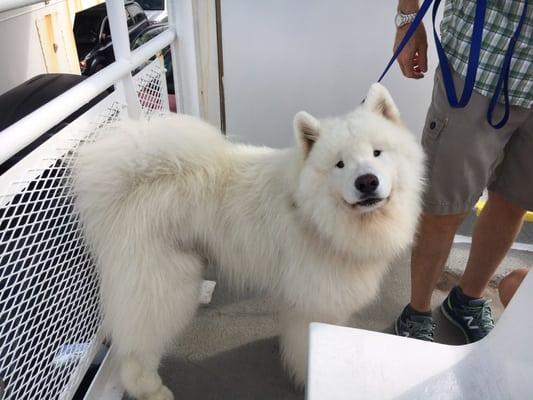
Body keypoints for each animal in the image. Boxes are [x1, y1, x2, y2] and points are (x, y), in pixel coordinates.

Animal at [74, 83, 424, 398]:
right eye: (339, 164)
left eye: (377, 152)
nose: (366, 182)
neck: (316, 217)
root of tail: (130, 180)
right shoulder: (315, 304)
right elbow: (306, 352)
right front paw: (310, 379)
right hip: (165, 289)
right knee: (135, 353)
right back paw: (153, 391)